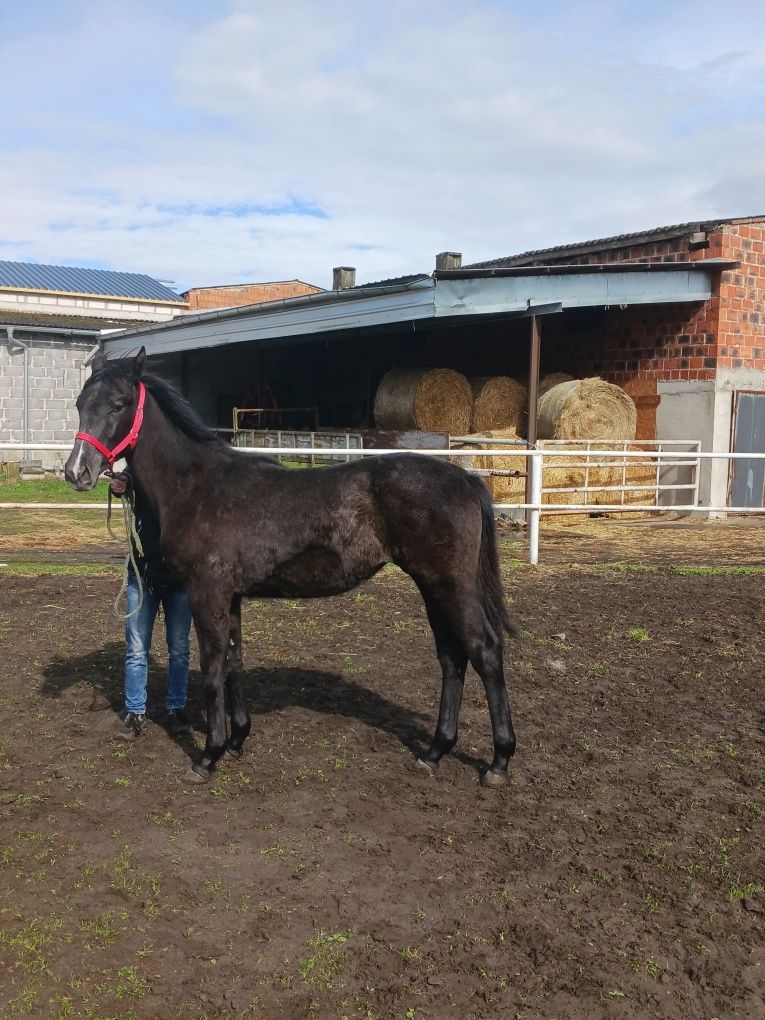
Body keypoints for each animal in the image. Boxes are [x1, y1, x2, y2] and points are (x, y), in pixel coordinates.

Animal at [65, 346, 518, 783]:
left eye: (119, 404)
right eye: (80, 403)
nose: (77, 471)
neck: (197, 485)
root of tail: (465, 479)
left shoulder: (207, 593)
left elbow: (212, 668)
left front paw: (209, 756)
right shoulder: (230, 597)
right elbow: (234, 662)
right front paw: (237, 740)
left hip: (450, 586)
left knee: (485, 650)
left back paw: (499, 761)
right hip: (431, 586)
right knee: (452, 657)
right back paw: (435, 751)